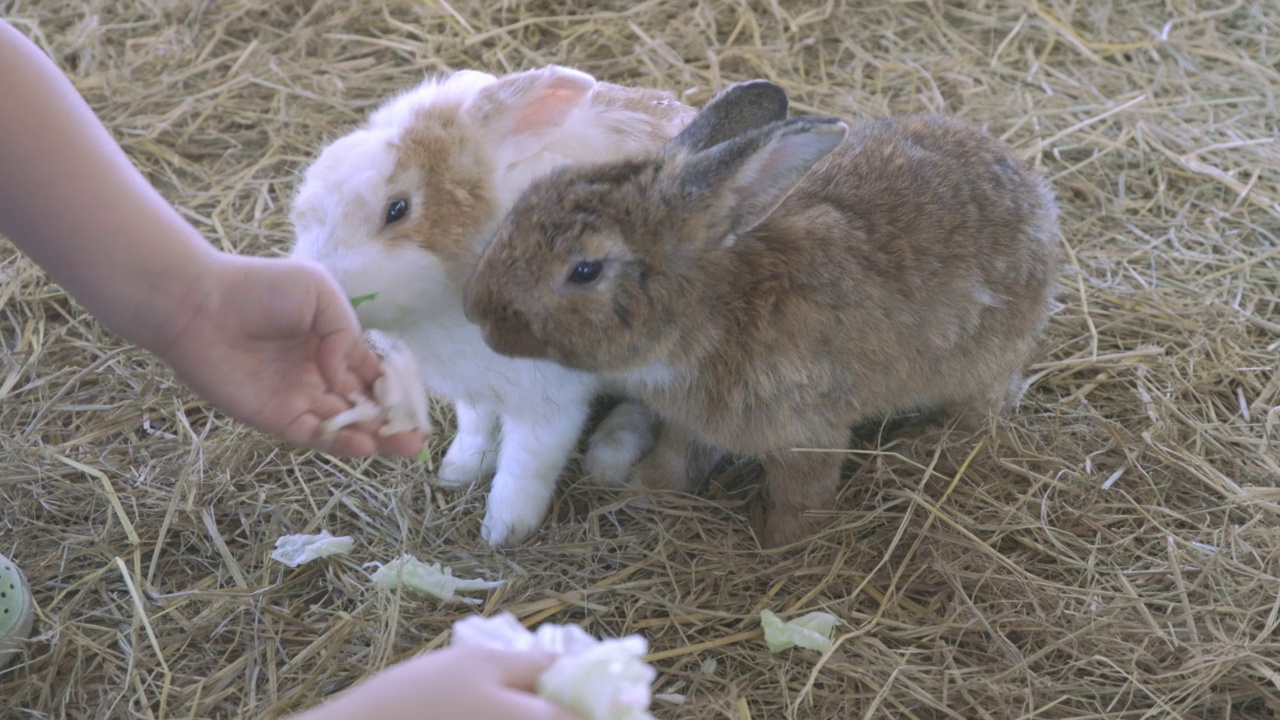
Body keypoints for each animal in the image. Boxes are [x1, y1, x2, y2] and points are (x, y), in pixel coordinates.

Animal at [460, 79, 1059, 543]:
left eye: (585, 271)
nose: (477, 312)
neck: (713, 308)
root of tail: (1035, 199)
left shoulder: (807, 429)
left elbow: (802, 492)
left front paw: (784, 547)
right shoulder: (690, 423)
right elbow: (676, 458)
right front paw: (643, 490)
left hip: (982, 361)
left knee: (983, 410)